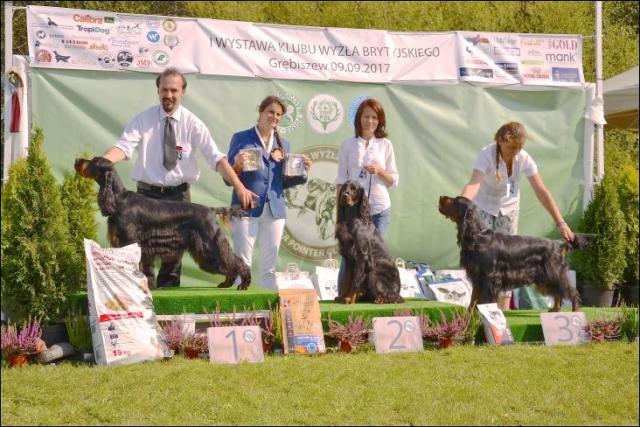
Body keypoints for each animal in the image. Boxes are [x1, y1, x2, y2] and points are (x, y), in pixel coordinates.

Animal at [438, 196, 596, 312]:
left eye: (455, 200)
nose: (441, 197)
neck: (477, 236)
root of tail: (557, 243)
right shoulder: (478, 276)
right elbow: (474, 299)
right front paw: (471, 315)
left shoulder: (490, 276)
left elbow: (486, 299)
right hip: (547, 277)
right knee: (558, 293)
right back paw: (555, 310)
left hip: (554, 273)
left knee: (571, 292)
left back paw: (575, 312)